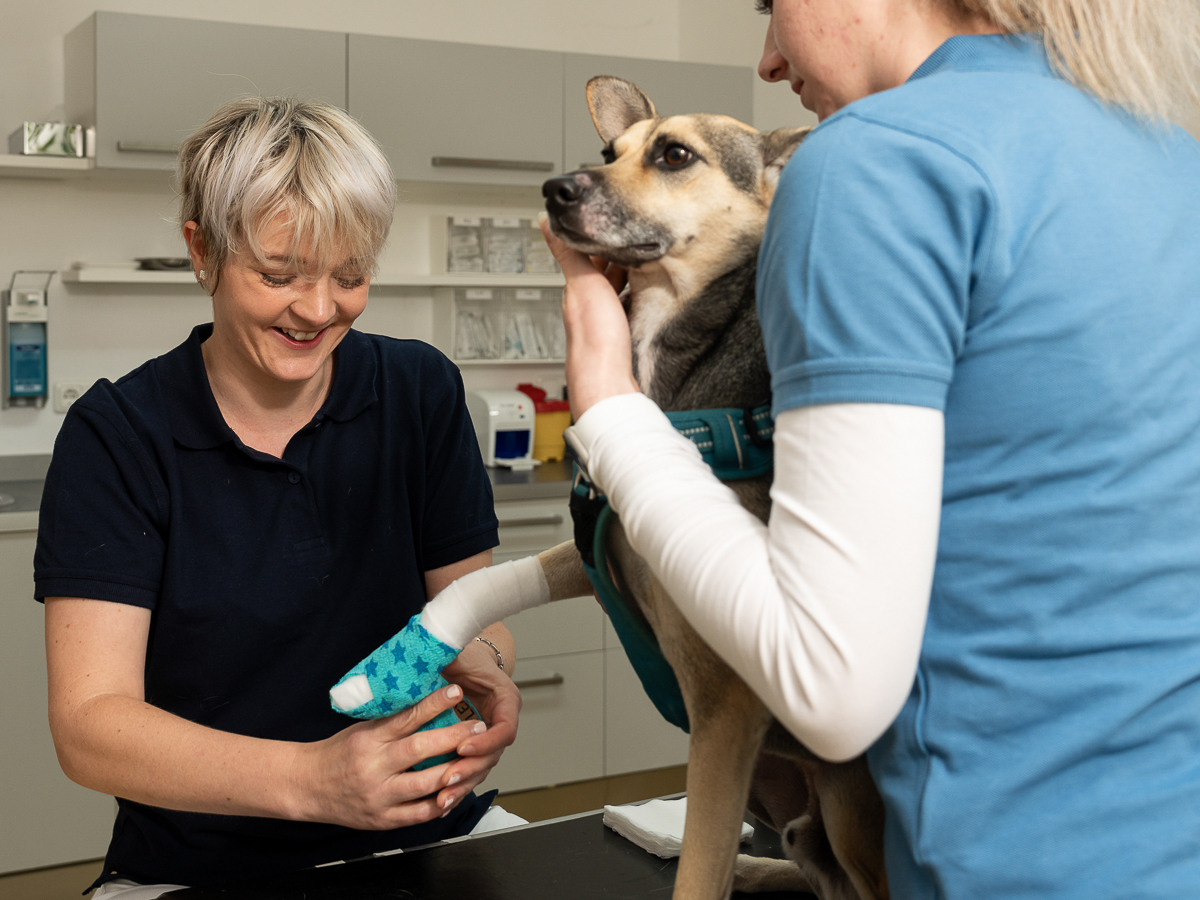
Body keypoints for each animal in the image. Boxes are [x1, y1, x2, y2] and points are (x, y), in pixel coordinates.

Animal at [520, 79, 888, 900]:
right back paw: (758, 866)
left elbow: (695, 867)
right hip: (784, 801)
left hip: (847, 804)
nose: (554, 189)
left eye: (675, 156)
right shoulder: (604, 549)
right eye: (608, 151)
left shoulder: (725, 709)